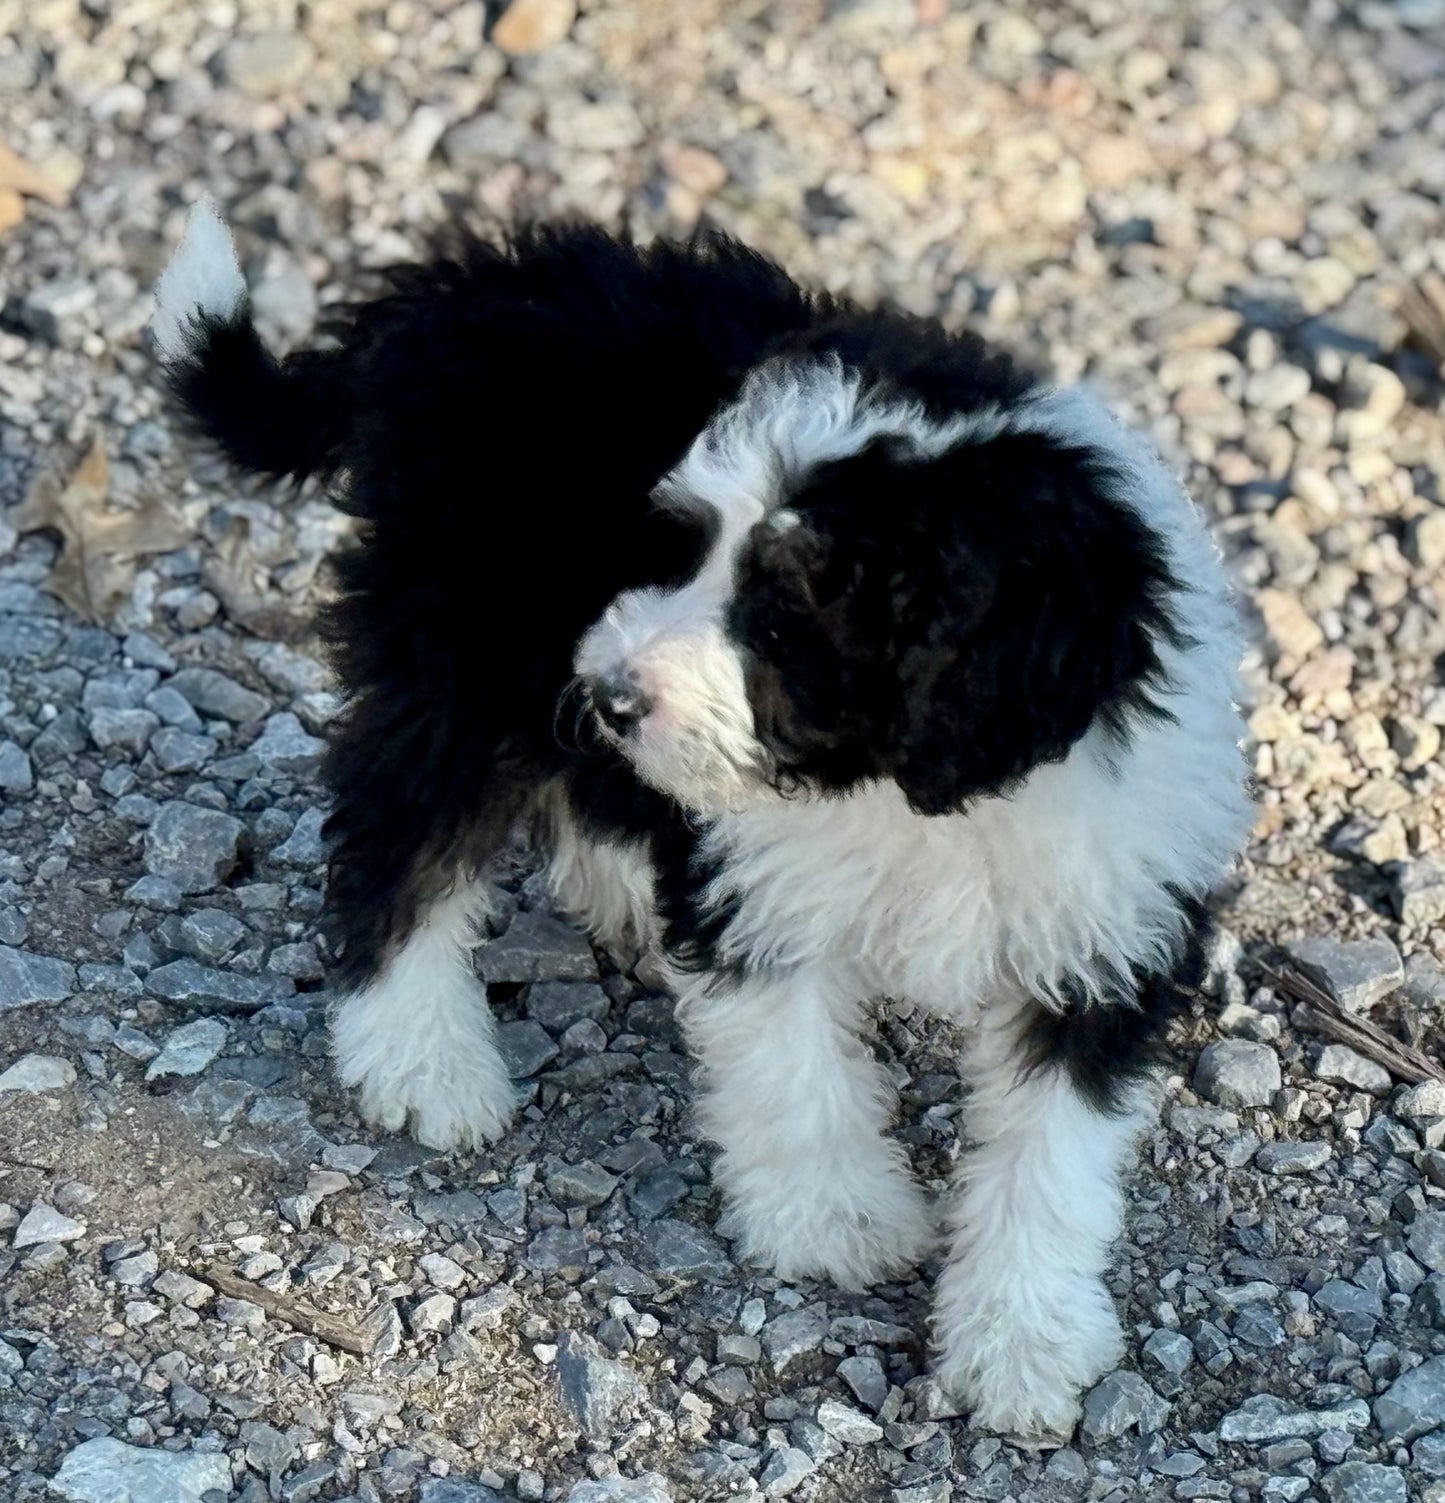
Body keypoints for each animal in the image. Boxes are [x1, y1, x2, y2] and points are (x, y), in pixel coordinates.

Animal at [151, 202, 1245, 1442]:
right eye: (679, 547)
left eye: (786, 610)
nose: (613, 690)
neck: (908, 791)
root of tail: (464, 284)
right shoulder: (752, 887)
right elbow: (791, 1068)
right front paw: (836, 1222)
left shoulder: (1105, 929)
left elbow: (1050, 1158)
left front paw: (1023, 1345)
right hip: (465, 652)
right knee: (398, 837)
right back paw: (423, 1061)